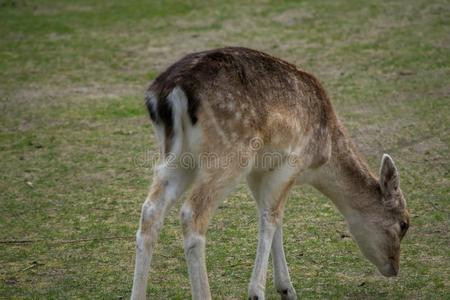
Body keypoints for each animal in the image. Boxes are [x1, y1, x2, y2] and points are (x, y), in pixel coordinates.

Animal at [129, 47, 408, 300]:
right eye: (404, 224)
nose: (394, 268)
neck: (324, 155)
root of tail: (168, 92)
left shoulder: (259, 171)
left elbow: (270, 215)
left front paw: (286, 289)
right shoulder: (291, 162)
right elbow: (272, 218)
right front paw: (258, 292)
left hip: (177, 157)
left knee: (151, 209)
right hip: (229, 154)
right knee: (192, 213)